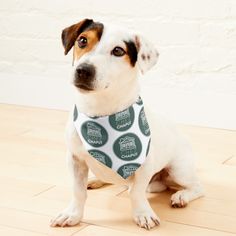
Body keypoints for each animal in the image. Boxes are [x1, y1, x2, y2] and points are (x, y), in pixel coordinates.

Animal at [50, 18, 204, 230]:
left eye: (118, 51)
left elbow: (137, 192)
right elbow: (78, 191)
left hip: (179, 170)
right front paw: (72, 214)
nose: (83, 70)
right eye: (82, 40)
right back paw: (95, 180)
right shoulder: (75, 159)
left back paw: (181, 196)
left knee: (196, 187)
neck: (101, 112)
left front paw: (143, 214)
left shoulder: (144, 166)